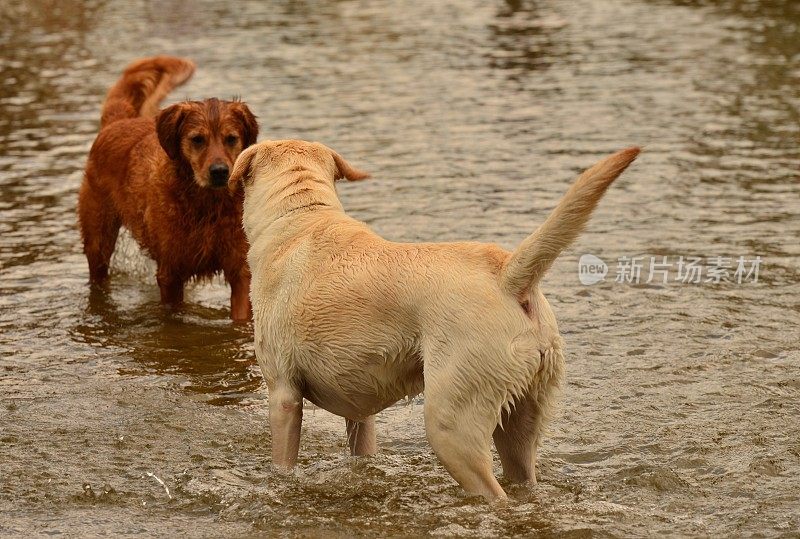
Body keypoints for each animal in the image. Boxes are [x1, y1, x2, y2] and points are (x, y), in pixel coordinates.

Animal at [78, 57, 256, 320]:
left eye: (231, 138)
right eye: (197, 139)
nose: (219, 172)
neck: (206, 205)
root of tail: (118, 121)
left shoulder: (240, 270)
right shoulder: (171, 272)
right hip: (98, 238)